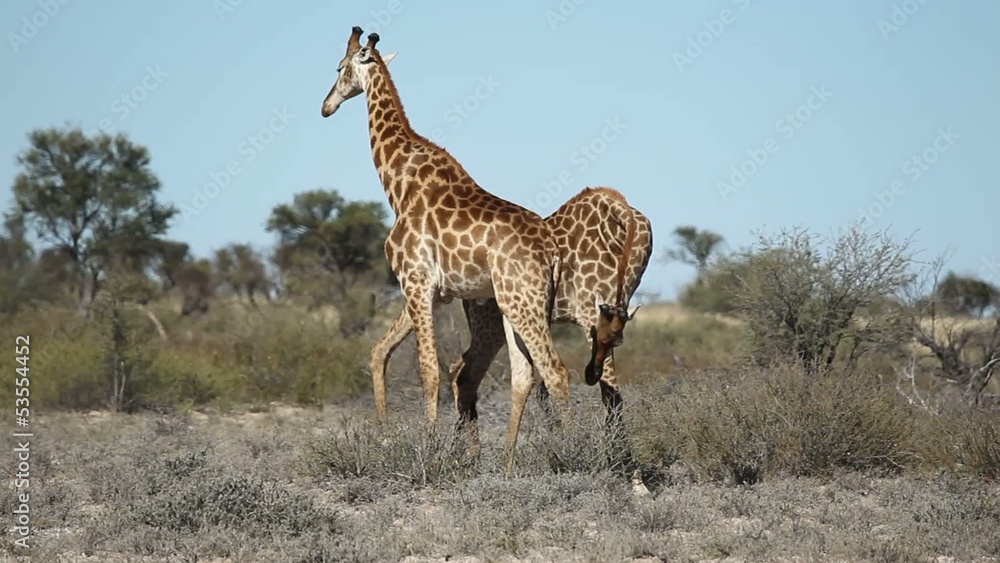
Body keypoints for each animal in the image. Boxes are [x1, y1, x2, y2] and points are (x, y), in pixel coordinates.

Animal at [321, 26, 574, 472]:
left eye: (339, 68)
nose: (326, 106)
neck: (398, 184)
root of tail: (551, 249)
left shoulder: (415, 281)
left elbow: (428, 370)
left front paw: (427, 449)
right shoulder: (431, 292)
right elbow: (380, 351)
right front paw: (387, 438)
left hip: (521, 302)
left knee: (555, 370)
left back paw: (586, 454)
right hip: (516, 303)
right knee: (524, 374)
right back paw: (506, 465)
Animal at [370, 186, 653, 467]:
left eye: (617, 340)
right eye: (598, 335)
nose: (590, 374)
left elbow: (610, 397)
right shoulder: (586, 315)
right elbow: (611, 397)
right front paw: (628, 471)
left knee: (448, 366)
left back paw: (464, 453)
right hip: (489, 324)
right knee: (457, 370)